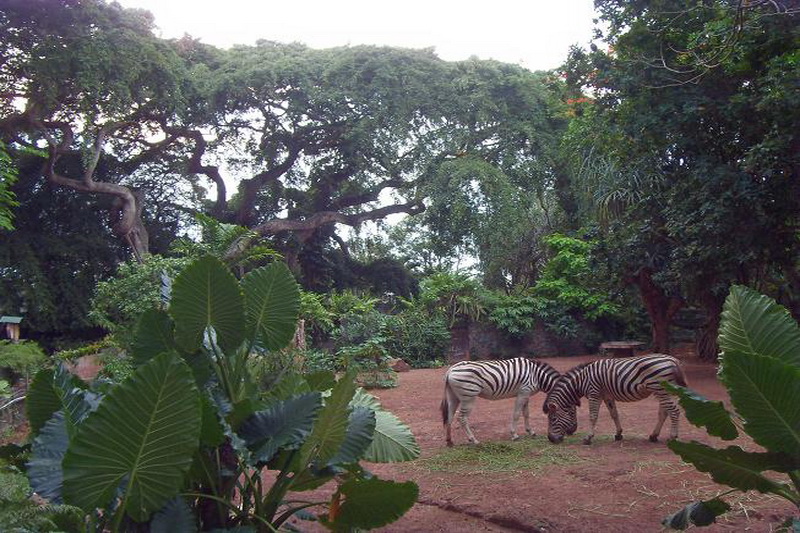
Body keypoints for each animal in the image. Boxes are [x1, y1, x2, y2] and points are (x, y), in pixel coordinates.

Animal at [544, 354, 688, 444]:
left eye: (553, 419)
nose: (550, 439)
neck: (580, 381)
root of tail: (673, 360)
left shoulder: (594, 393)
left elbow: (593, 416)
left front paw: (588, 438)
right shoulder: (607, 396)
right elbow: (614, 414)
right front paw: (618, 434)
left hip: (661, 389)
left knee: (674, 411)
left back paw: (673, 437)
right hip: (662, 391)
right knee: (664, 413)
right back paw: (653, 436)